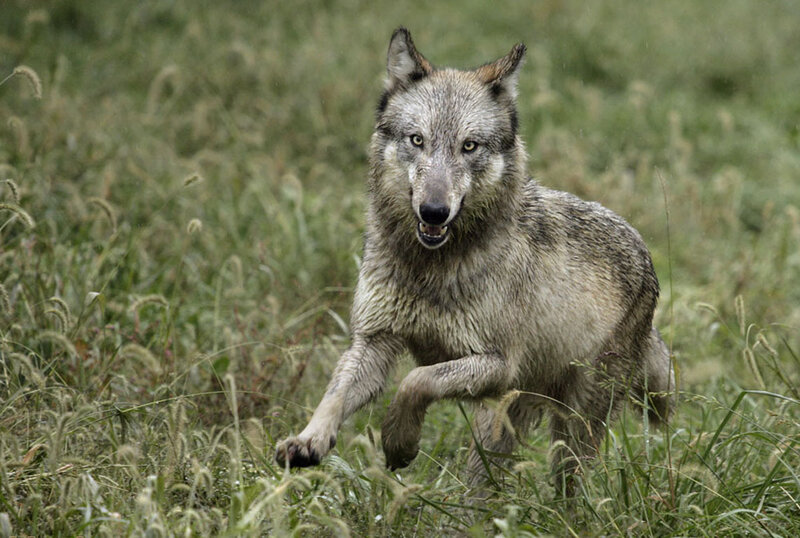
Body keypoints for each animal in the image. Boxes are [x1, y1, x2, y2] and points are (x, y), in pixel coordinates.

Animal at [275, 28, 674, 492]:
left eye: (469, 146)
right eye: (417, 140)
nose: (433, 212)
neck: (429, 269)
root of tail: (647, 261)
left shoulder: (496, 364)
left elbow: (414, 382)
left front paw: (398, 443)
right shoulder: (374, 342)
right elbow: (335, 395)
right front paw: (308, 441)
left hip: (567, 428)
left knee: (569, 491)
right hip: (497, 428)